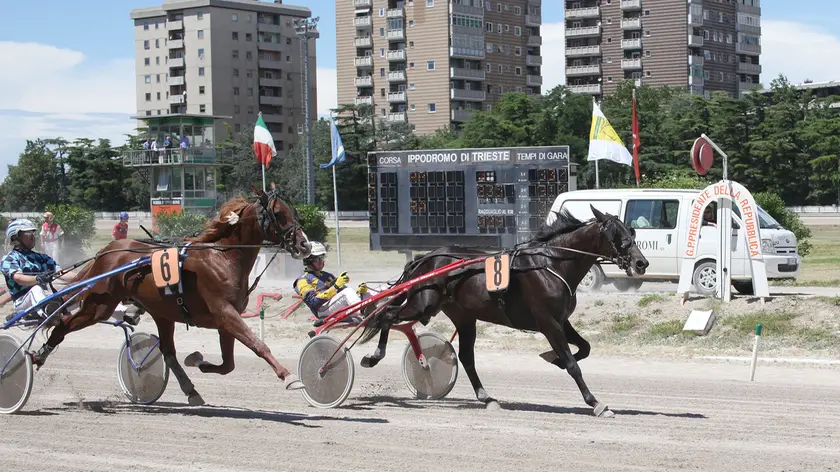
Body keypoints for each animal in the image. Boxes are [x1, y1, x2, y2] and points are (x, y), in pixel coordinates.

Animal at [32, 188, 316, 406]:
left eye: (293, 211)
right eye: (278, 214)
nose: (304, 245)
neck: (223, 257)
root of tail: (106, 251)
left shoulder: (226, 319)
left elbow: (228, 365)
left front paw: (197, 360)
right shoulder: (225, 313)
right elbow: (259, 345)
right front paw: (290, 377)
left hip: (162, 312)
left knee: (168, 352)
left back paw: (191, 390)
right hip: (99, 305)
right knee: (63, 325)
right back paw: (39, 355)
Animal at [358, 206, 648, 416]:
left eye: (631, 232)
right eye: (616, 236)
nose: (641, 263)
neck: (551, 263)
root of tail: (424, 259)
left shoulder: (562, 321)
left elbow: (584, 348)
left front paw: (552, 358)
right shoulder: (548, 323)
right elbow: (573, 365)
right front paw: (595, 402)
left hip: (463, 316)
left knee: (466, 357)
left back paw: (487, 398)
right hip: (423, 304)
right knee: (386, 316)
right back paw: (373, 356)